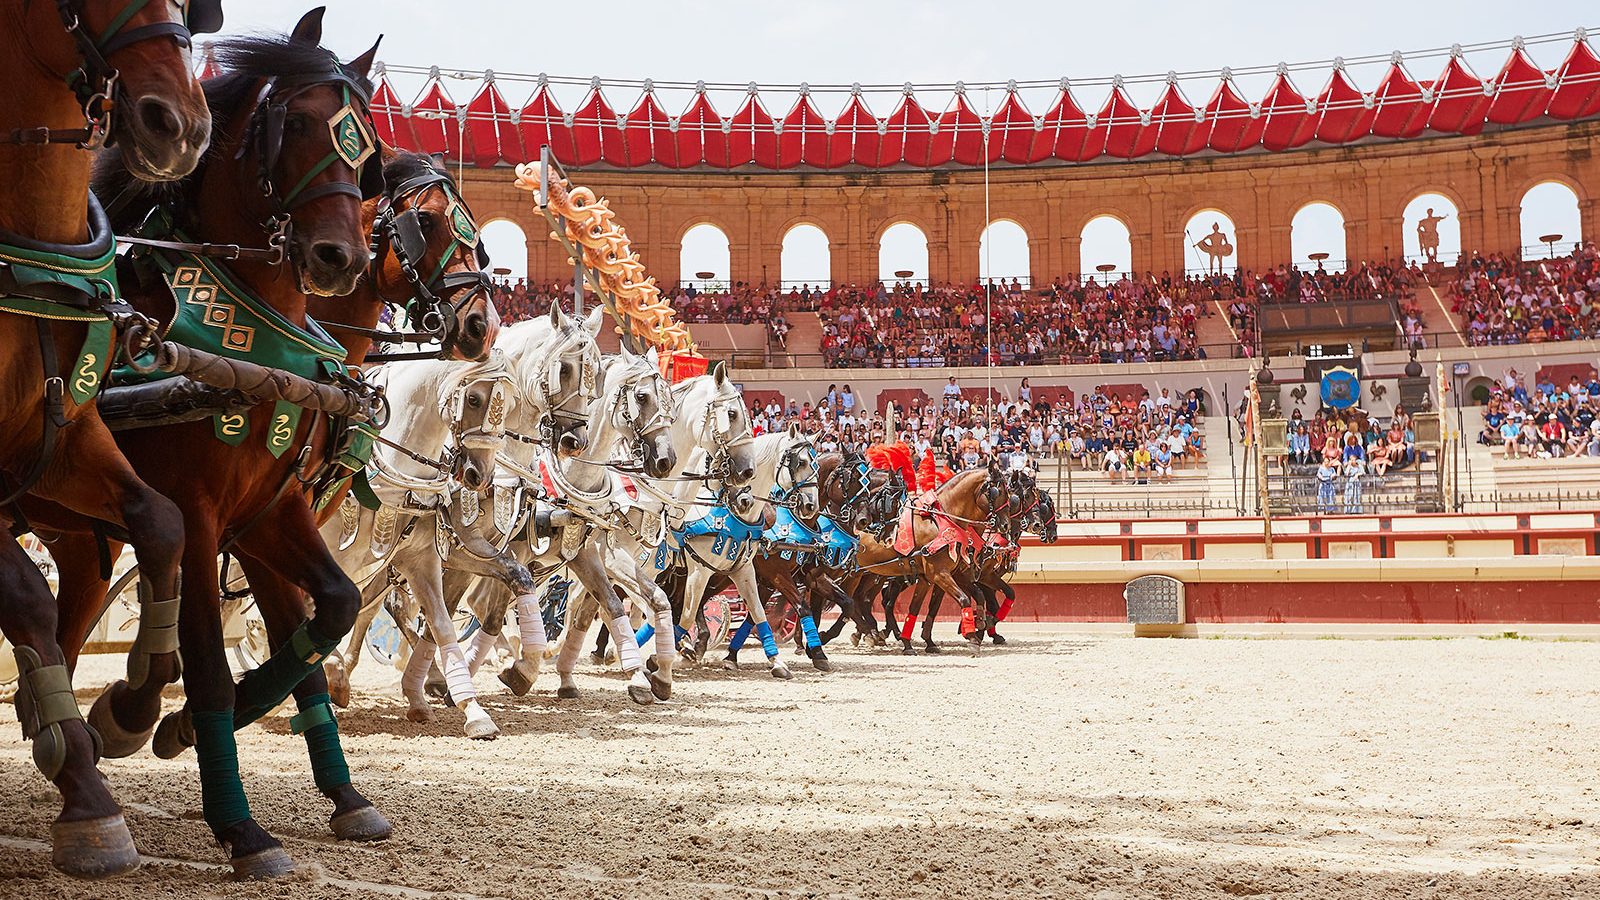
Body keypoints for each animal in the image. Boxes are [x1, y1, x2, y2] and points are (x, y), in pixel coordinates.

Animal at [26, 10, 388, 871]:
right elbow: (211, 666)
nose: (339, 257)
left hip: (75, 530)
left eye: (365, 149)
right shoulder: (196, 515)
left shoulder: (269, 511)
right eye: (296, 122)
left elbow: (332, 611)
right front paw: (239, 824)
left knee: (63, 622)